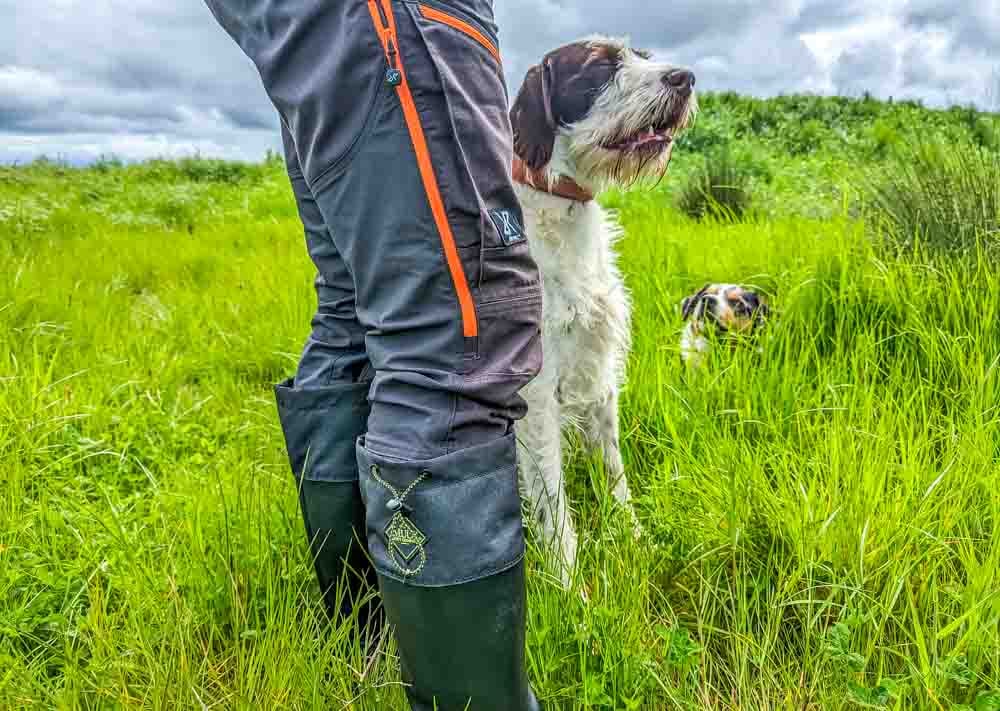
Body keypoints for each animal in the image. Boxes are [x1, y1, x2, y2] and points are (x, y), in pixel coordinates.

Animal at [508, 36, 696, 588]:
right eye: (598, 67)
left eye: (642, 57)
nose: (685, 77)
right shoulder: (536, 397)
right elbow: (553, 506)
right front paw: (571, 590)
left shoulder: (600, 373)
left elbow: (616, 476)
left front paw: (635, 541)